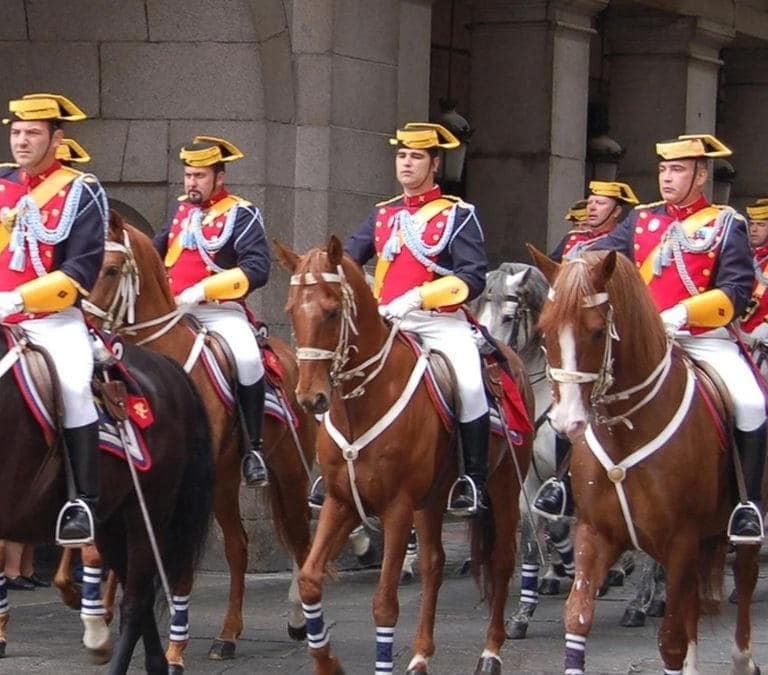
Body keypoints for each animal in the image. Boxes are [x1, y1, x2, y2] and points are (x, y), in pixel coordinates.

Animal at [76, 214, 318, 668]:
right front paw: (98, 627)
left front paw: (174, 649)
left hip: (289, 470)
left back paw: (300, 619)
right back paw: (228, 634)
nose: (86, 329)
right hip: (224, 479)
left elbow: (181, 566)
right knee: (239, 547)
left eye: (112, 270)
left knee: (300, 539)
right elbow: (101, 552)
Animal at [276, 238, 536, 675]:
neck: (361, 404)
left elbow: (384, 603)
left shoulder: (396, 507)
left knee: (501, 560)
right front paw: (327, 662)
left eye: (331, 310)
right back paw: (419, 656)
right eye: (291, 309)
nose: (311, 398)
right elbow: (311, 580)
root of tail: (510, 358)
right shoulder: (341, 501)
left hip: (503, 486)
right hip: (431, 499)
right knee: (433, 563)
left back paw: (490, 652)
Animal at [528, 248, 760, 675]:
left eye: (597, 331)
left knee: (745, 580)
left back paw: (742, 659)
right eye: (544, 329)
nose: (567, 422)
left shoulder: (680, 540)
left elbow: (670, 641)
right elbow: (577, 616)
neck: (625, 435)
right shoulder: (594, 533)